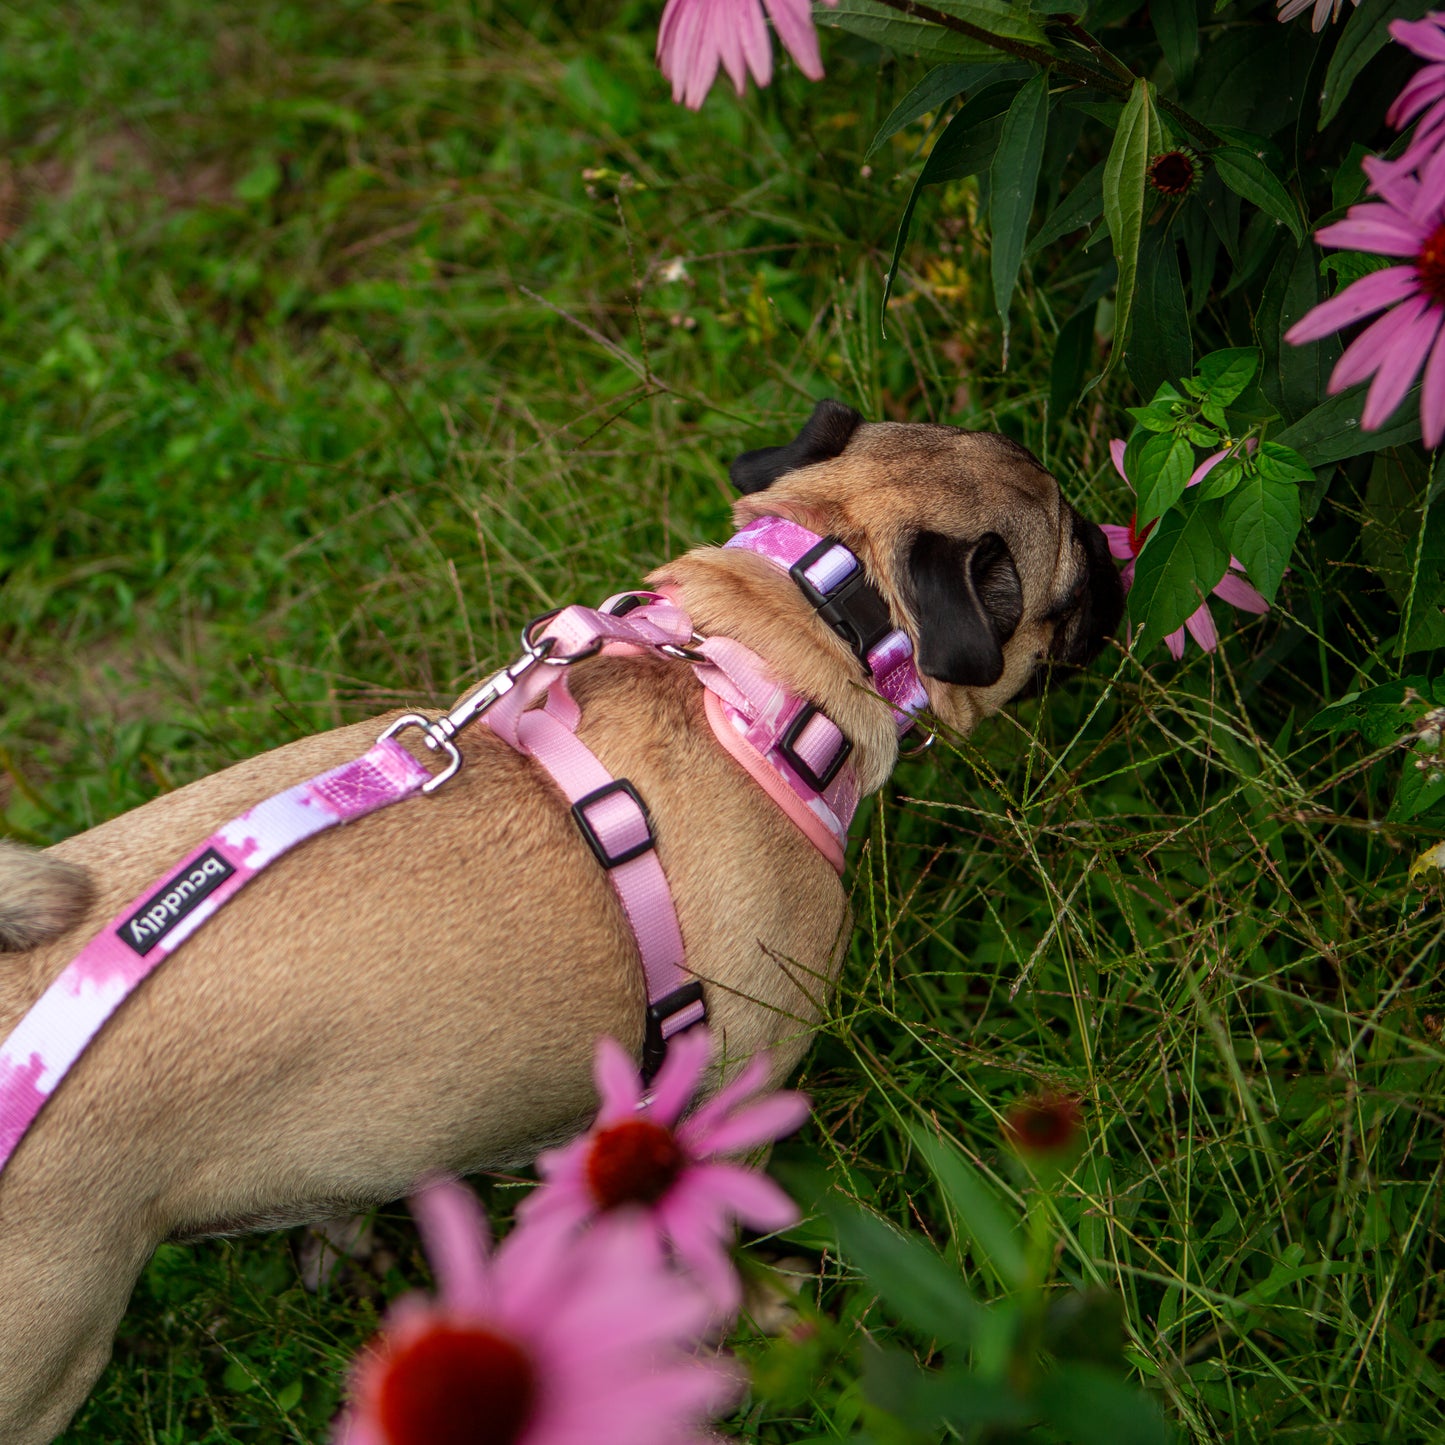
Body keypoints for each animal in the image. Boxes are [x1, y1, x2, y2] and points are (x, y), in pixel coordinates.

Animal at [0, 401, 1127, 1439]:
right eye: (1069, 584)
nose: (1119, 553)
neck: (769, 651)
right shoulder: (731, 1087)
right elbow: (718, 1245)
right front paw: (764, 1317)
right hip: (49, 1358)